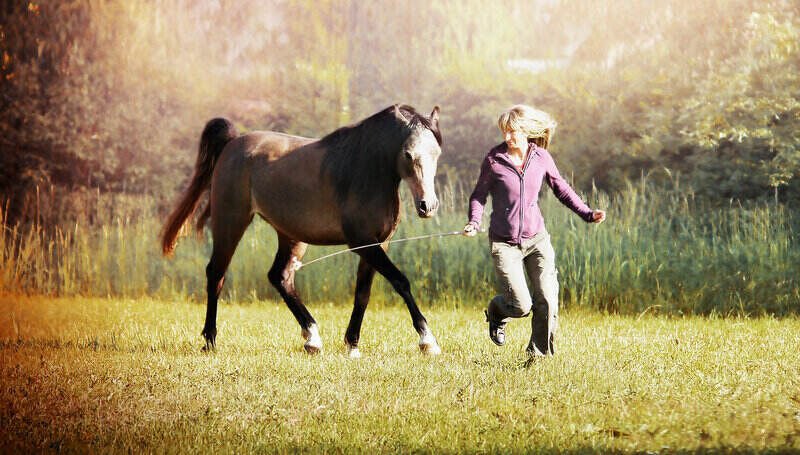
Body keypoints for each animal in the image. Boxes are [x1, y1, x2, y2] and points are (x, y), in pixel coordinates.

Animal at [161, 104, 443, 357]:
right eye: (408, 154)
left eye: (437, 153)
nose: (427, 206)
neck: (366, 171)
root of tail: (232, 143)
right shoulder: (362, 242)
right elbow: (400, 281)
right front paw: (427, 340)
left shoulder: (376, 244)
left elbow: (363, 293)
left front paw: (352, 344)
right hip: (230, 223)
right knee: (216, 274)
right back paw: (210, 341)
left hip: (290, 236)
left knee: (280, 276)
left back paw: (312, 338)